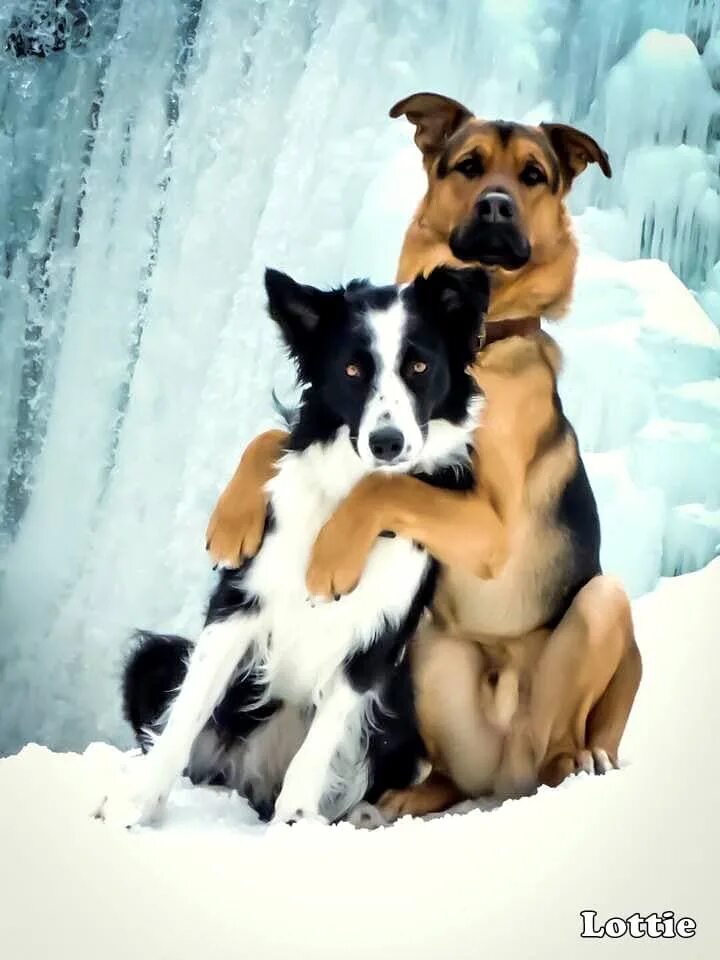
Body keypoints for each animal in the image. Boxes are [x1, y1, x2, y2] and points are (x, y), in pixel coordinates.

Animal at [98, 266, 486, 828]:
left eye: (419, 365)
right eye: (351, 369)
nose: (387, 443)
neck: (344, 494)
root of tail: (251, 780)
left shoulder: (376, 637)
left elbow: (319, 745)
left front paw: (295, 825)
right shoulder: (242, 601)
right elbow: (188, 709)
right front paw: (137, 802)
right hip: (156, 661)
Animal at [204, 95, 640, 816]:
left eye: (533, 175)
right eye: (469, 166)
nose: (496, 206)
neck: (477, 339)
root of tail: (503, 781)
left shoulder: (490, 525)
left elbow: (386, 485)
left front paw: (329, 558)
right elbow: (277, 437)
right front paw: (231, 519)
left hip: (602, 604)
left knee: (567, 741)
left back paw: (572, 764)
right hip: (428, 647)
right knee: (445, 773)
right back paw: (395, 802)